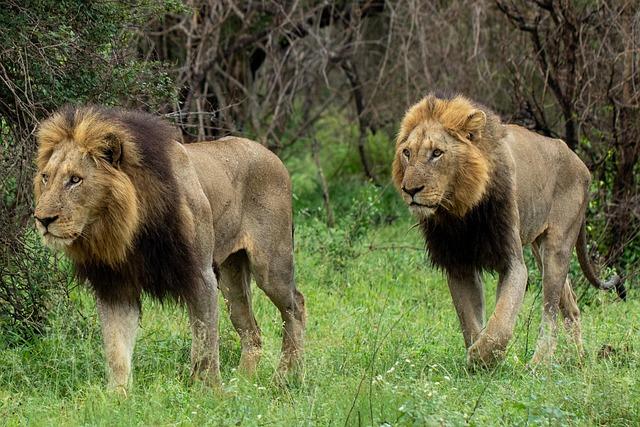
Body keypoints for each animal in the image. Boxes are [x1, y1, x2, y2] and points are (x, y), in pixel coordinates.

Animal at [33, 107, 306, 392]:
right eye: (45, 177)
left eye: (75, 180)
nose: (42, 219)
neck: (129, 226)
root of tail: (270, 154)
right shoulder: (116, 284)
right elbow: (116, 348)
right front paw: (116, 395)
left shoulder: (201, 276)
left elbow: (205, 344)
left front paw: (209, 392)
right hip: (232, 277)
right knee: (252, 331)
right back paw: (244, 383)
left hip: (271, 265)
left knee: (295, 307)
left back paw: (286, 378)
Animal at [392, 93, 624, 368]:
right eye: (407, 153)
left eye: (437, 153)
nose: (410, 190)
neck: (460, 212)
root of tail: (580, 163)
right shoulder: (458, 264)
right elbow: (470, 321)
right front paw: (479, 358)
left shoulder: (511, 261)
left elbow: (501, 323)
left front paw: (482, 357)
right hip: (539, 247)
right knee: (571, 306)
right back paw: (579, 361)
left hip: (557, 246)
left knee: (550, 311)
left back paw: (538, 364)